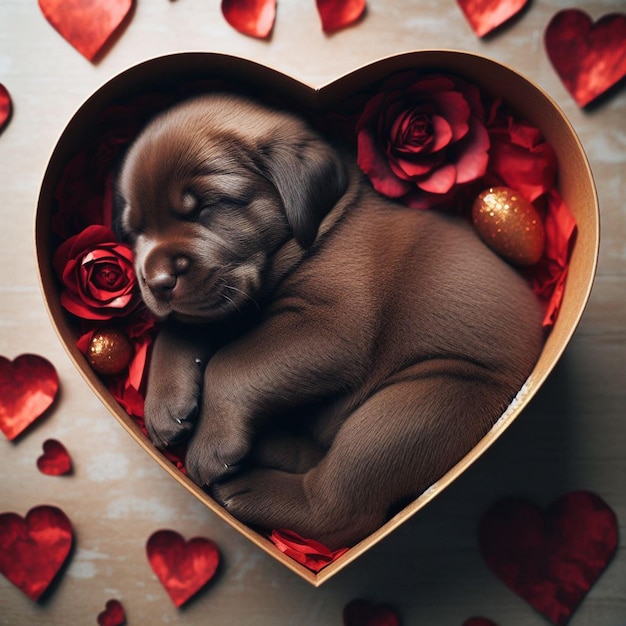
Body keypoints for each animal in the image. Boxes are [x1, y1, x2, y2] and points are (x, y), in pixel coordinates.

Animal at [114, 92, 544, 544]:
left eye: (209, 206)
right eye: (134, 233)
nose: (157, 281)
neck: (321, 227)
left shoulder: (329, 327)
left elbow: (232, 365)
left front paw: (212, 441)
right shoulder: (231, 305)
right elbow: (182, 329)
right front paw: (165, 401)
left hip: (414, 410)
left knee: (339, 508)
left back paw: (250, 491)